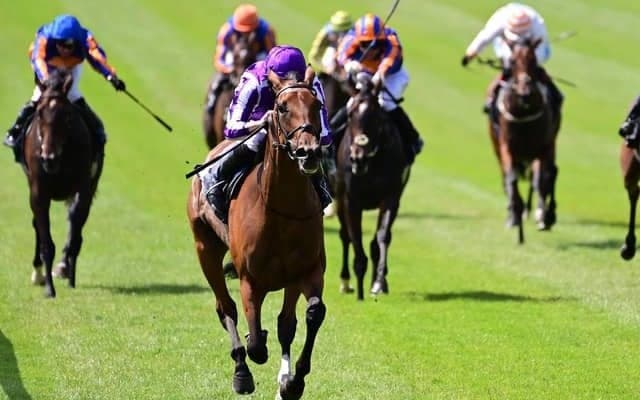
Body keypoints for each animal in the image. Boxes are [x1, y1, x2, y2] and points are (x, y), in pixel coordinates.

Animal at [22, 68, 103, 298]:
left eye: (66, 115)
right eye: (39, 113)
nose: (48, 159)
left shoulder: (83, 188)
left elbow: (75, 230)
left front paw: (67, 272)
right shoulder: (38, 191)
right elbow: (45, 240)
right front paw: (49, 288)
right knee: (37, 226)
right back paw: (38, 273)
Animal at [187, 66, 326, 399]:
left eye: (317, 105)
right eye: (282, 108)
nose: (308, 152)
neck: (281, 208)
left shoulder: (307, 271)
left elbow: (309, 316)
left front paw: (292, 382)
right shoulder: (250, 280)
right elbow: (256, 344)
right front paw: (253, 350)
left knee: (285, 323)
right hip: (205, 248)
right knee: (225, 308)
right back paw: (241, 373)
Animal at [334, 72, 411, 300]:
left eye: (377, 117)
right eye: (350, 115)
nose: (357, 158)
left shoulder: (391, 196)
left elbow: (382, 237)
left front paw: (378, 282)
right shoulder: (351, 200)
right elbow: (355, 238)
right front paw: (359, 287)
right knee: (345, 235)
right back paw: (345, 281)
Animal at [497, 39, 559, 244]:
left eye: (533, 60)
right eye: (512, 61)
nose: (524, 92)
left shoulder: (542, 147)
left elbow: (540, 179)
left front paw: (542, 217)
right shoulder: (506, 147)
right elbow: (511, 179)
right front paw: (516, 220)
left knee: (551, 173)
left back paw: (547, 214)